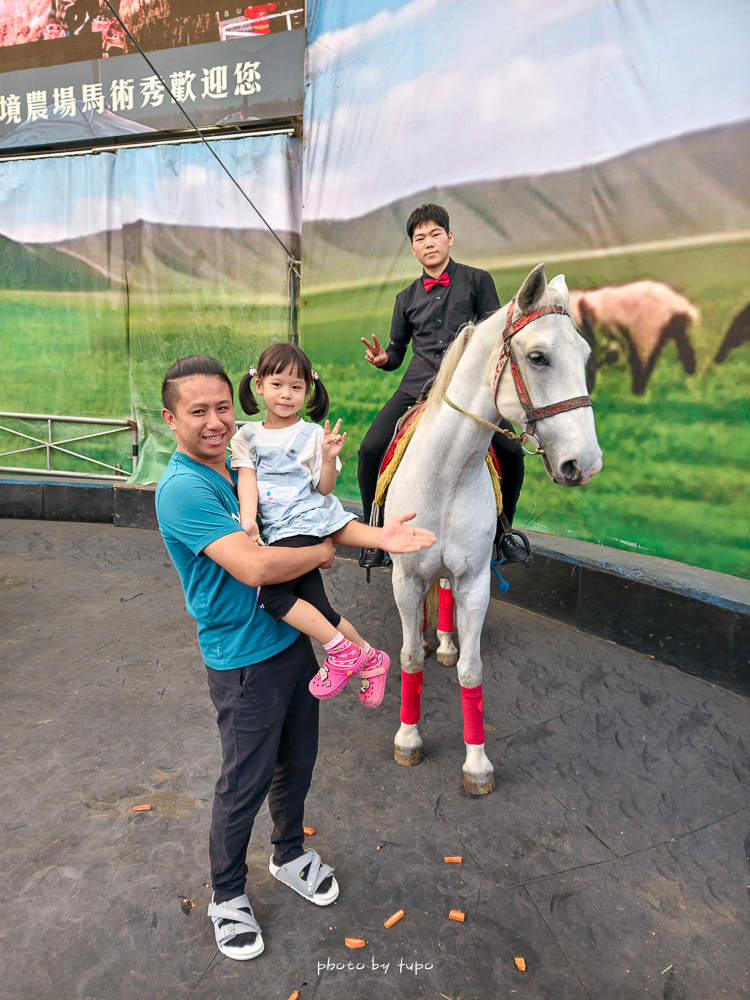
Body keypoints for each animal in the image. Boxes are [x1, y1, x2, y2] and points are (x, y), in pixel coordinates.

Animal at [388, 266, 604, 796]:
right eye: (538, 357)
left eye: (586, 355)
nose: (586, 464)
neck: (447, 473)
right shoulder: (405, 578)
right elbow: (409, 657)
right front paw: (408, 738)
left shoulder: (475, 581)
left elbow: (472, 670)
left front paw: (476, 762)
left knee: (444, 594)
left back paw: (445, 640)